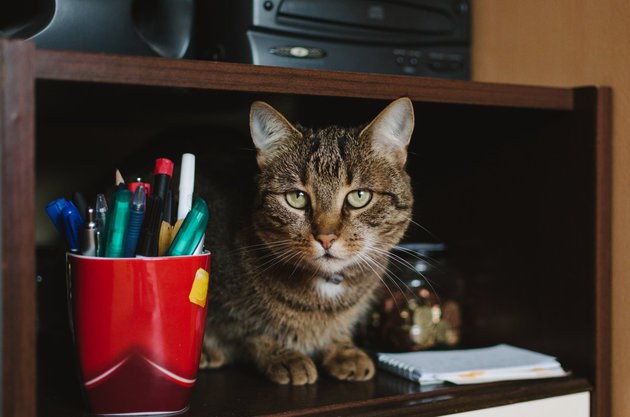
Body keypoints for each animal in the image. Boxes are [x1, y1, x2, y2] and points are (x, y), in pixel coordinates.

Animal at [202, 96, 418, 384]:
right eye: (297, 197)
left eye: (359, 196)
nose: (326, 237)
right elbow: (250, 330)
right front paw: (283, 355)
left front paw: (343, 349)